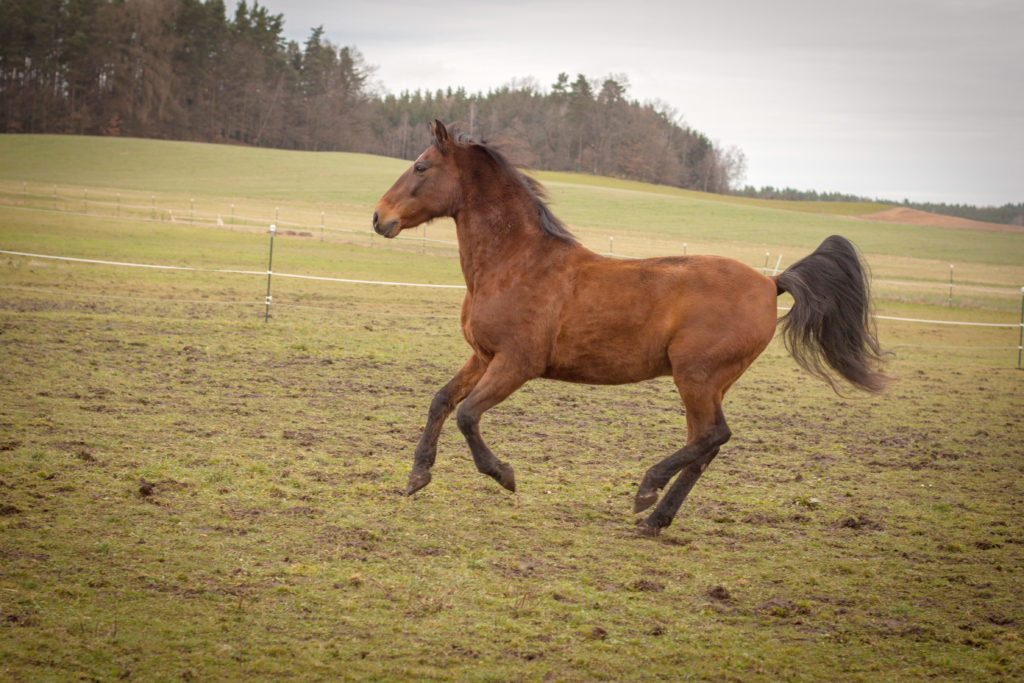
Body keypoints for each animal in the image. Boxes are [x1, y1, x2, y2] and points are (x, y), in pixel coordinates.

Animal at [370, 120, 888, 536]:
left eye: (420, 167)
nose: (379, 218)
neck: (515, 263)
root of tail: (770, 281)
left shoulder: (517, 363)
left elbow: (467, 415)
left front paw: (505, 475)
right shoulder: (483, 355)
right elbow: (441, 401)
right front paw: (417, 477)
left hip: (696, 376)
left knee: (713, 436)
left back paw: (646, 492)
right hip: (709, 383)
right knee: (704, 444)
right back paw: (656, 520)